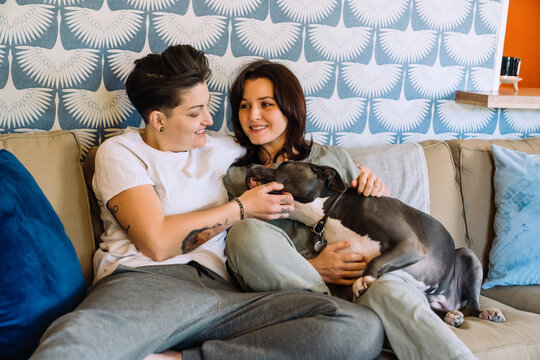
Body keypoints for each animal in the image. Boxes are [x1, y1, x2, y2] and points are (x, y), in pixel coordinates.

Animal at [247, 161, 504, 326]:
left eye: (283, 164)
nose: (250, 165)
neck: (331, 212)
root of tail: (449, 301)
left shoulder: (410, 245)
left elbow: (377, 260)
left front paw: (364, 280)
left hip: (468, 255)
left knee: (473, 306)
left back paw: (487, 312)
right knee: (446, 311)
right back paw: (451, 316)